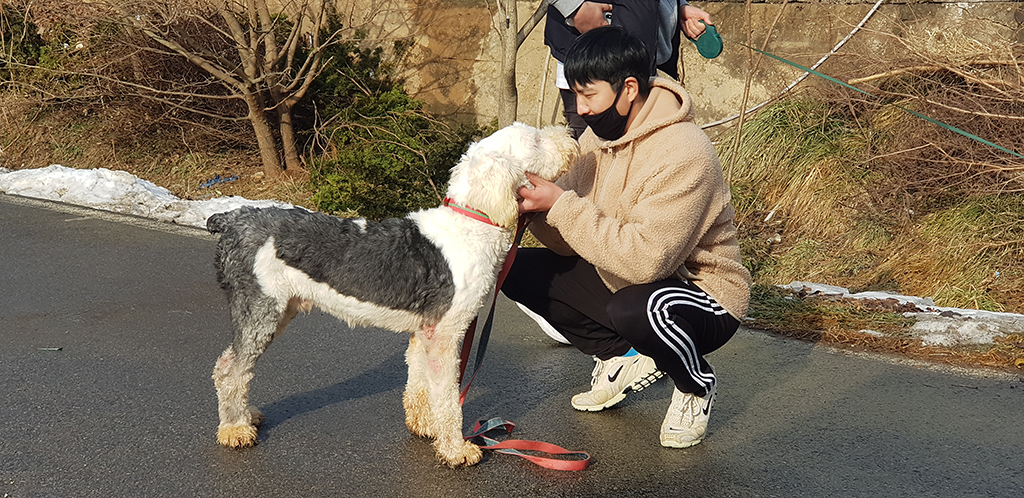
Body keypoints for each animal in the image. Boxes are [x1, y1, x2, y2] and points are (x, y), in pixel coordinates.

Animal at [205, 123, 577, 467]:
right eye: (535, 140)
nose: (570, 134)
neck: (471, 224)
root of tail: (231, 219)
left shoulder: (424, 332)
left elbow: (419, 382)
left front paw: (424, 426)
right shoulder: (445, 334)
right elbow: (447, 398)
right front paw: (456, 449)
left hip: (278, 310)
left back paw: (245, 415)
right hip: (260, 310)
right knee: (229, 369)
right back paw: (235, 429)